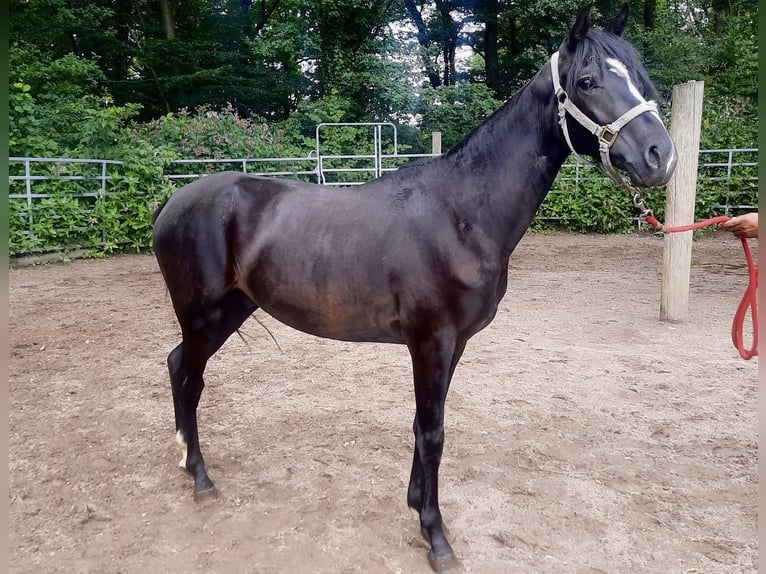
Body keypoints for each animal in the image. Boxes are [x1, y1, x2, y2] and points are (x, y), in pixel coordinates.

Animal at [152, 5, 677, 572]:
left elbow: (424, 424)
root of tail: (174, 200)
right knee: (189, 375)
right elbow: (432, 432)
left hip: (232, 310)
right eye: (587, 81)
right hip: (204, 313)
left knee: (179, 366)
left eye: (640, 79)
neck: (462, 212)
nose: (660, 156)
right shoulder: (431, 342)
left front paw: (415, 504)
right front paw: (436, 536)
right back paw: (201, 477)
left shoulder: (454, 345)